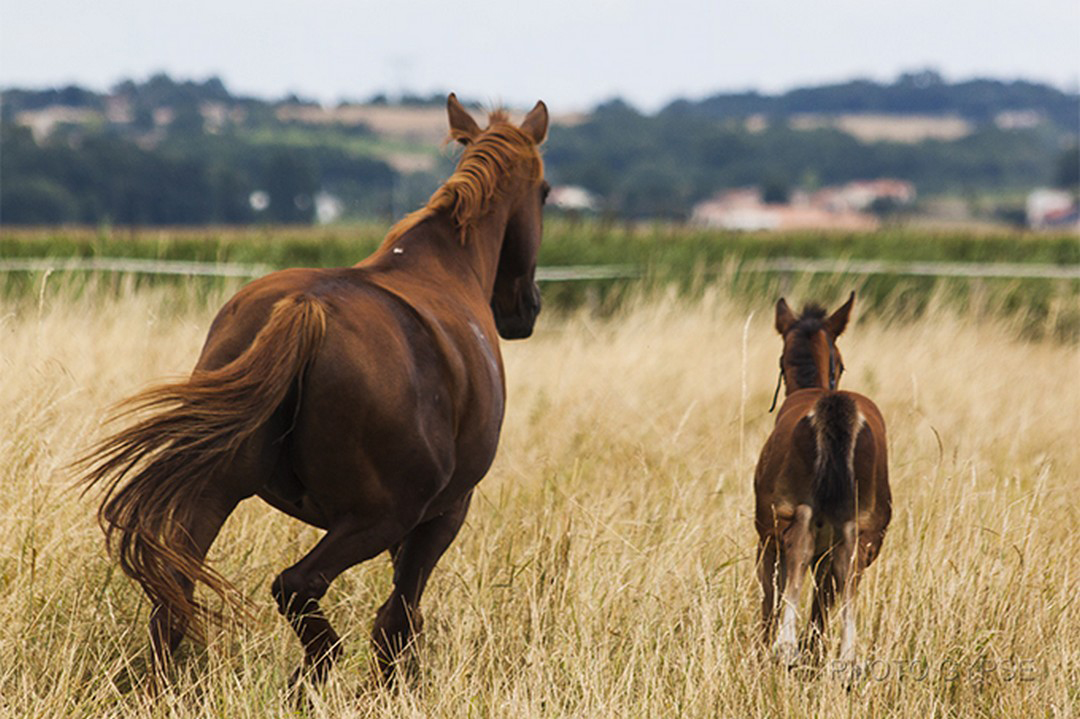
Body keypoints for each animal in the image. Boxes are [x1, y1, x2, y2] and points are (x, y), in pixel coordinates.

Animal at [79, 94, 550, 684]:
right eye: (545, 192)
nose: (525, 309)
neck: (445, 265)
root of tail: (304, 310)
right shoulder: (442, 515)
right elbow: (400, 617)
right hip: (378, 518)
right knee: (299, 587)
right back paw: (317, 667)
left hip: (217, 491)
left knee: (174, 600)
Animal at [753, 293, 891, 668]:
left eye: (839, 364)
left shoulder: (766, 534)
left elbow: (771, 592)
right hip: (862, 527)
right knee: (847, 571)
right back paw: (846, 657)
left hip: (787, 515)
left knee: (799, 549)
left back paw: (786, 646)